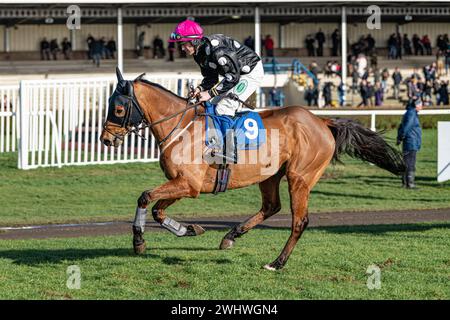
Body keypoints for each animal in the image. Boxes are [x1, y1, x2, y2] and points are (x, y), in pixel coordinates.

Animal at [101, 69, 404, 270]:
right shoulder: (183, 183)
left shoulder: (189, 184)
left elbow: (145, 198)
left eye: (118, 109)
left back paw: (276, 262)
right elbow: (158, 210)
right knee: (271, 207)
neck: (182, 127)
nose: (106, 139)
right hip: (269, 176)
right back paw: (230, 237)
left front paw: (138, 242)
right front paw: (190, 229)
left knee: (299, 221)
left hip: (300, 177)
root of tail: (322, 121)